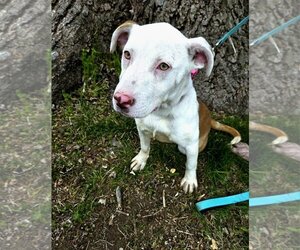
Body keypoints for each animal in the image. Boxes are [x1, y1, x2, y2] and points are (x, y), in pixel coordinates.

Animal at [110, 21, 241, 193]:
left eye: (164, 66)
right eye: (127, 54)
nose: (121, 99)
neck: (162, 112)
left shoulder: (191, 146)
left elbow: (191, 164)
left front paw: (190, 180)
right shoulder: (142, 130)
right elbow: (144, 147)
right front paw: (141, 159)